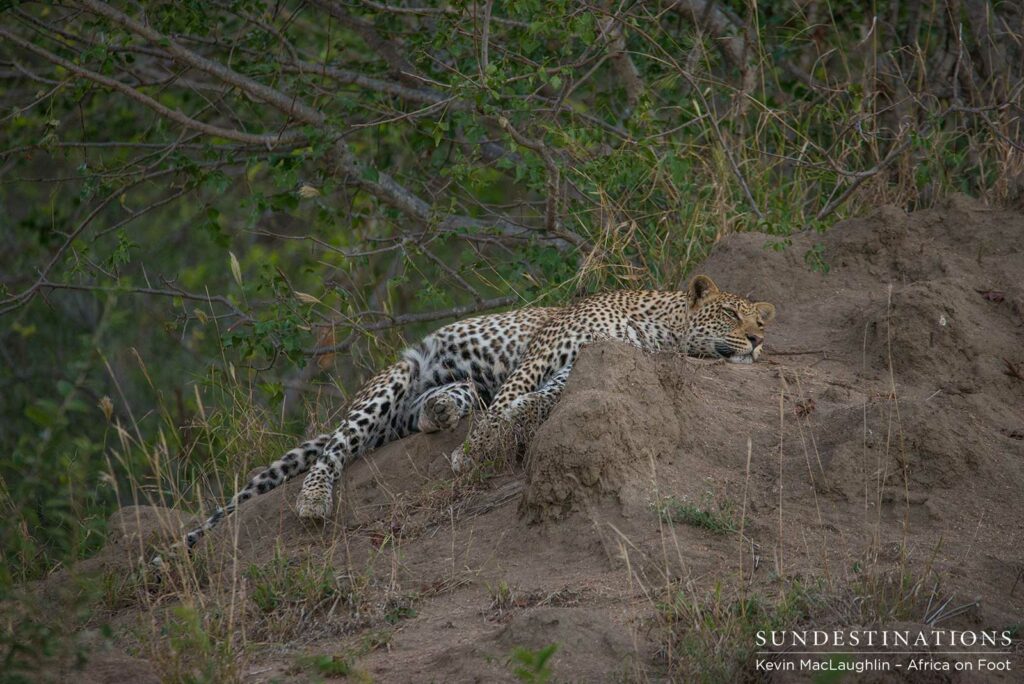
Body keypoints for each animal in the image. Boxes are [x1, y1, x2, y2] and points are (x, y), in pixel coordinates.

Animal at [184, 275, 775, 548]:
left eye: (760, 321)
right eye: (730, 315)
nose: (756, 342)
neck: (660, 328)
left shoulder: (573, 371)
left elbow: (534, 403)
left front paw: (502, 433)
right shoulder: (543, 354)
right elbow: (513, 397)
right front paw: (473, 455)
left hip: (435, 398)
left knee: (437, 410)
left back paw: (443, 410)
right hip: (390, 380)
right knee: (334, 448)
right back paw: (312, 500)